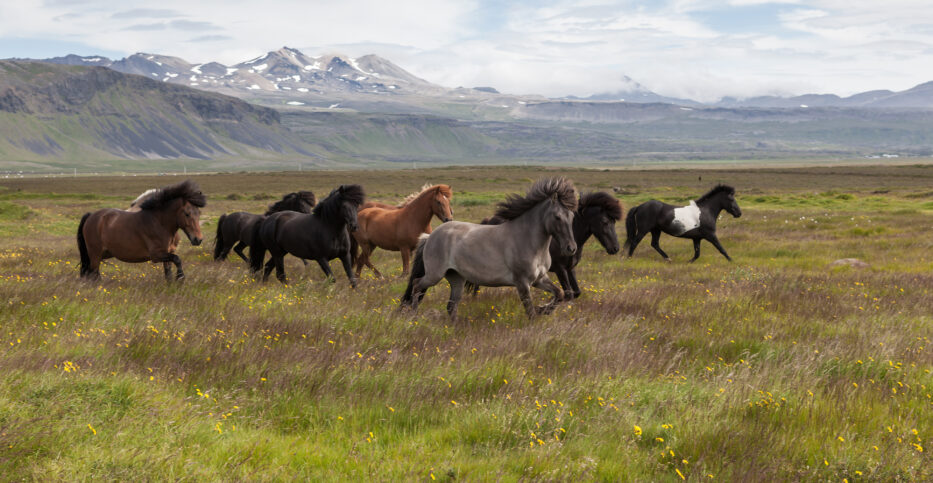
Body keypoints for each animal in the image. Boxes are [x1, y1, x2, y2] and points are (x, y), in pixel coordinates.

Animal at [77, 180, 207, 282]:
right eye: (187, 214)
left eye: (199, 213)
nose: (198, 239)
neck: (160, 223)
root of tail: (91, 216)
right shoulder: (156, 255)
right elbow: (177, 259)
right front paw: (180, 278)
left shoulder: (168, 253)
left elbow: (168, 273)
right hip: (95, 254)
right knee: (93, 274)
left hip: (103, 254)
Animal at [398, 178, 580, 322]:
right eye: (557, 217)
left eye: (572, 216)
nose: (571, 248)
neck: (529, 241)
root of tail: (430, 236)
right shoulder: (522, 283)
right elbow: (530, 311)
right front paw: (538, 316)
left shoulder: (539, 279)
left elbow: (560, 293)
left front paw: (544, 309)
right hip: (435, 274)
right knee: (417, 285)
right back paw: (413, 315)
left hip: (456, 278)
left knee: (451, 306)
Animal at [470, 191, 624, 300]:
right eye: (604, 221)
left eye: (613, 221)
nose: (615, 248)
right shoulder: (560, 269)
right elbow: (569, 294)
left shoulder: (570, 269)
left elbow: (576, 292)